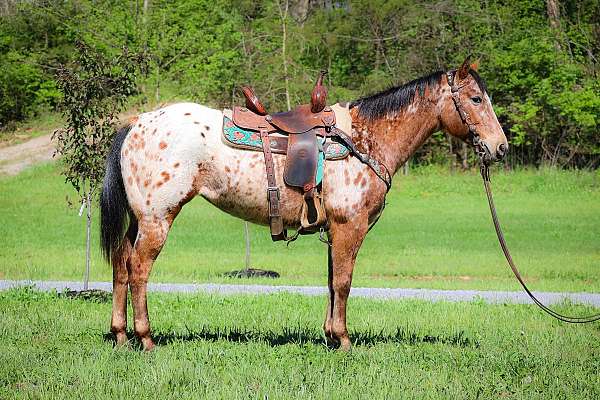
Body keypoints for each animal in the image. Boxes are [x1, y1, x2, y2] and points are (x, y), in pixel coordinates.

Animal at [101, 57, 508, 352]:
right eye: (476, 99)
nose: (500, 147)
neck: (365, 141)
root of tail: (136, 123)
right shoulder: (349, 227)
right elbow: (344, 281)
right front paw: (343, 340)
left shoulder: (334, 231)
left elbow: (330, 281)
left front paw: (329, 335)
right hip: (158, 219)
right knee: (138, 270)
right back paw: (146, 338)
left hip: (140, 220)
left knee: (121, 263)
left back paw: (120, 335)